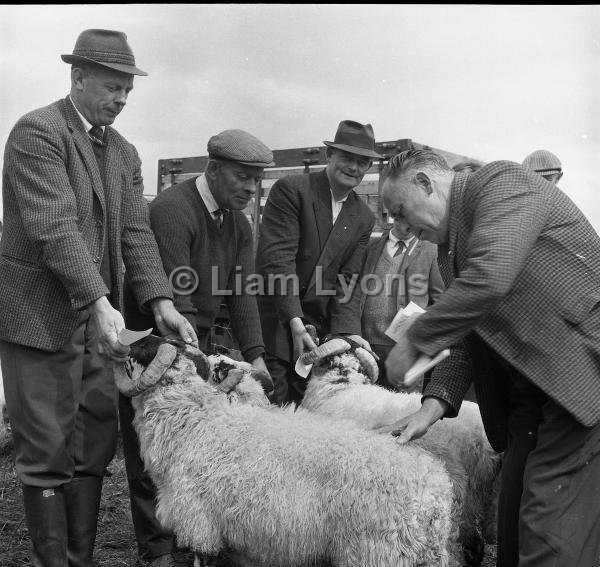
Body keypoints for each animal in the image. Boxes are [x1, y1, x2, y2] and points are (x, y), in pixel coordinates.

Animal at [118, 338, 464, 567]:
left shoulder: (201, 525)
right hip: (427, 554)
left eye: (142, 352)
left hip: (378, 552)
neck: (191, 420)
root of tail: (435, 490)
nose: (124, 341)